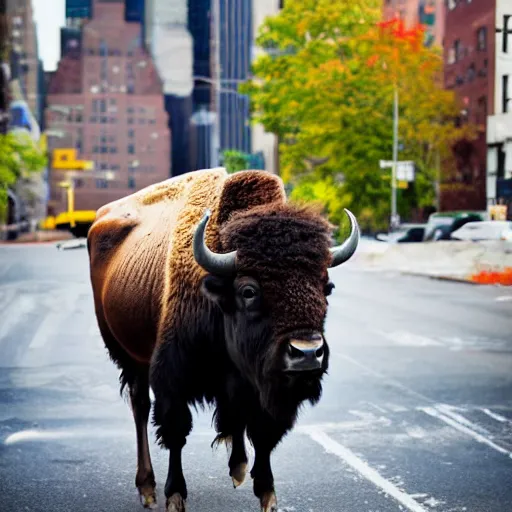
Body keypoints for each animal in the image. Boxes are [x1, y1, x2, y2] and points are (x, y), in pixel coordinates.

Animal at [88, 166, 358, 510]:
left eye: (326, 287)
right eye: (249, 291)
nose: (307, 353)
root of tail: (101, 217)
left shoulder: (259, 384)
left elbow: (261, 430)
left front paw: (266, 492)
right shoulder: (172, 378)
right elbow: (176, 431)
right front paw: (175, 495)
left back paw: (237, 467)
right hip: (128, 355)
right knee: (140, 406)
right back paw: (147, 488)